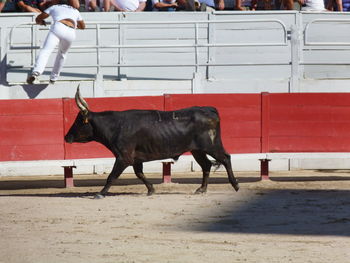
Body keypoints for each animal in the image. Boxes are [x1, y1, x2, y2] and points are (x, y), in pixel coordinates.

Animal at [64, 87, 239, 199]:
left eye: (78, 122)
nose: (66, 137)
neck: (115, 126)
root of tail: (209, 109)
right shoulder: (135, 159)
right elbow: (139, 174)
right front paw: (151, 190)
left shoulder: (123, 157)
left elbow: (112, 176)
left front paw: (100, 193)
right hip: (197, 150)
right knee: (207, 165)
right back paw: (201, 189)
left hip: (211, 146)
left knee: (225, 158)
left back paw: (235, 185)